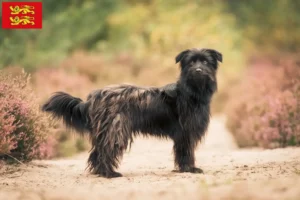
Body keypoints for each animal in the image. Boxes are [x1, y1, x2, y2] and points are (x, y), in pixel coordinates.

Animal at [43, 48, 224, 178]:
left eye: (205, 62)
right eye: (191, 63)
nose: (198, 70)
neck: (191, 92)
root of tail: (95, 96)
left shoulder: (183, 134)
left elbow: (183, 152)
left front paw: (185, 169)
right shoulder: (186, 132)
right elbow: (187, 152)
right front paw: (190, 168)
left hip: (106, 131)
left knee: (97, 152)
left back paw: (100, 172)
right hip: (115, 129)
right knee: (105, 151)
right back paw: (109, 173)